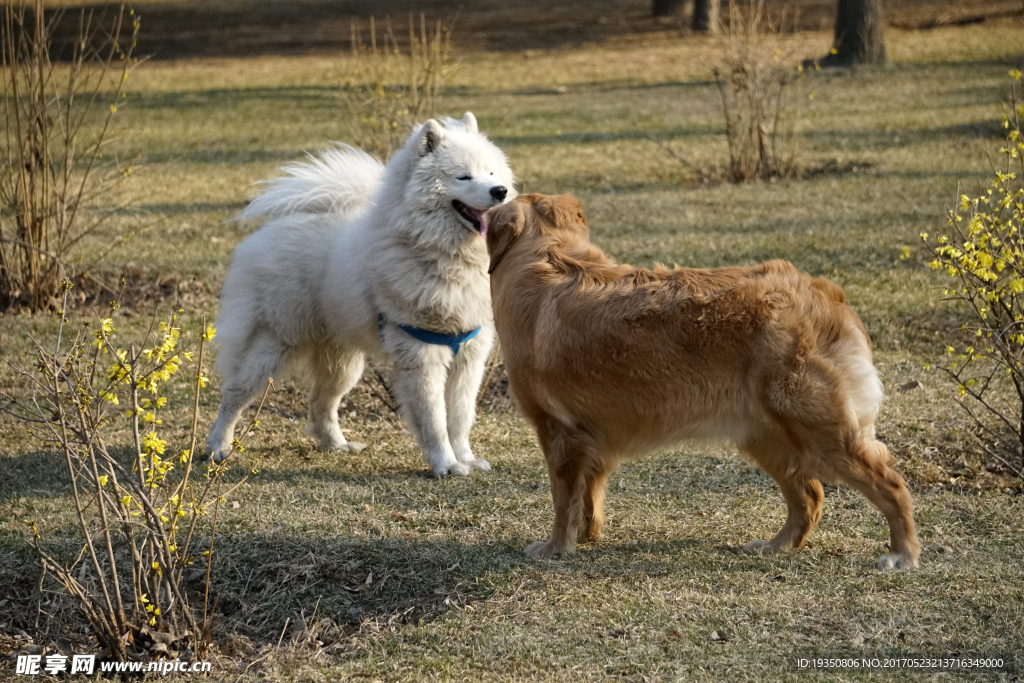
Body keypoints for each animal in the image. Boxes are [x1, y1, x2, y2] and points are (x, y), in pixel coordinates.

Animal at [206, 113, 516, 475]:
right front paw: (446, 464)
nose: (500, 191)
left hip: (342, 361)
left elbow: (461, 418)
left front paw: (465, 458)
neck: (439, 253)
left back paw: (336, 445)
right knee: (235, 392)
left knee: (320, 401)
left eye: (491, 173)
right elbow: (434, 420)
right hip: (274, 344)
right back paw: (218, 446)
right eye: (463, 176)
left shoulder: (469, 355)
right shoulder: (422, 354)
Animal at [483, 193, 925, 573]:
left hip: (820, 431)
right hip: (766, 436)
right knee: (810, 496)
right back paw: (777, 545)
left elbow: (563, 499)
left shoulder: (557, 430)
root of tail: (825, 294)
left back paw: (902, 553)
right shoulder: (592, 437)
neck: (546, 253)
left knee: (891, 484)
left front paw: (556, 547)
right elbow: (589, 493)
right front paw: (587, 535)